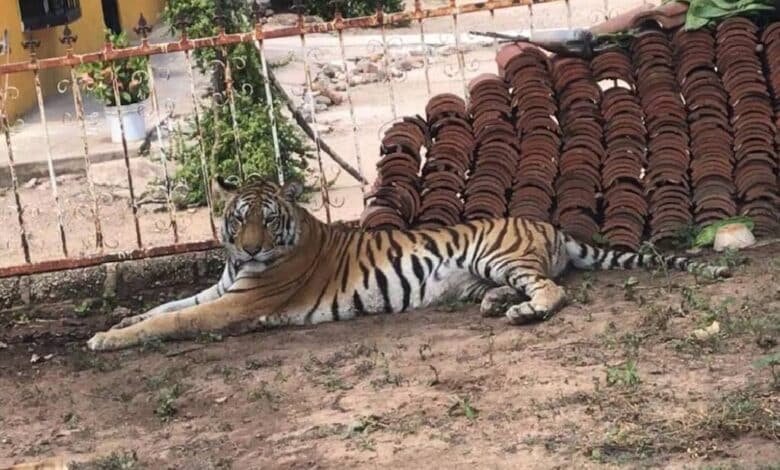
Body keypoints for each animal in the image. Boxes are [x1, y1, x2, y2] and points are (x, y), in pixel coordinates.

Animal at [87, 178, 732, 350]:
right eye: (236, 218)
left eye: (266, 221)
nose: (246, 248)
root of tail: (548, 224)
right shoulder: (221, 288)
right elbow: (164, 306)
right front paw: (113, 325)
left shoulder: (239, 301)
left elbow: (174, 320)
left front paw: (105, 341)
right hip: (490, 268)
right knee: (533, 285)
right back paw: (497, 304)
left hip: (497, 253)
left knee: (556, 291)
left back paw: (523, 313)